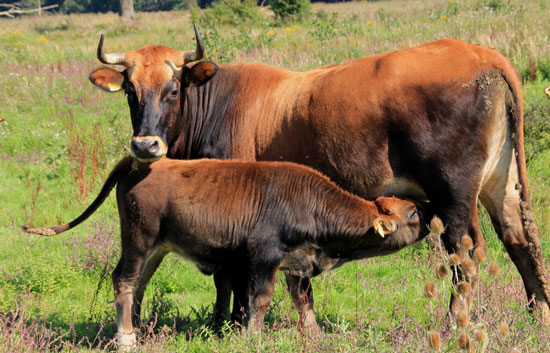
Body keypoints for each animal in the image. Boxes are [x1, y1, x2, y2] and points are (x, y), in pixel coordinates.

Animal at [24, 156, 426, 346]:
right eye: (413, 214)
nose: (430, 216)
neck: (309, 203)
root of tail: (141, 163)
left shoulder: (297, 265)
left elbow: (305, 303)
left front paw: (315, 337)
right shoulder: (265, 256)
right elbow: (259, 299)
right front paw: (253, 336)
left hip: (157, 249)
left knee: (137, 285)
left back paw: (138, 328)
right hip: (138, 240)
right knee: (123, 280)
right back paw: (126, 338)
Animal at [88, 26, 550, 326]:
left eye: (172, 89)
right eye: (131, 91)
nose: (145, 145)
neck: (221, 102)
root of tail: (482, 55)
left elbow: (230, 275)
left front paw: (229, 324)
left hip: (453, 195)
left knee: (465, 255)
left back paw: (455, 324)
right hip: (501, 184)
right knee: (521, 240)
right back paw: (537, 315)